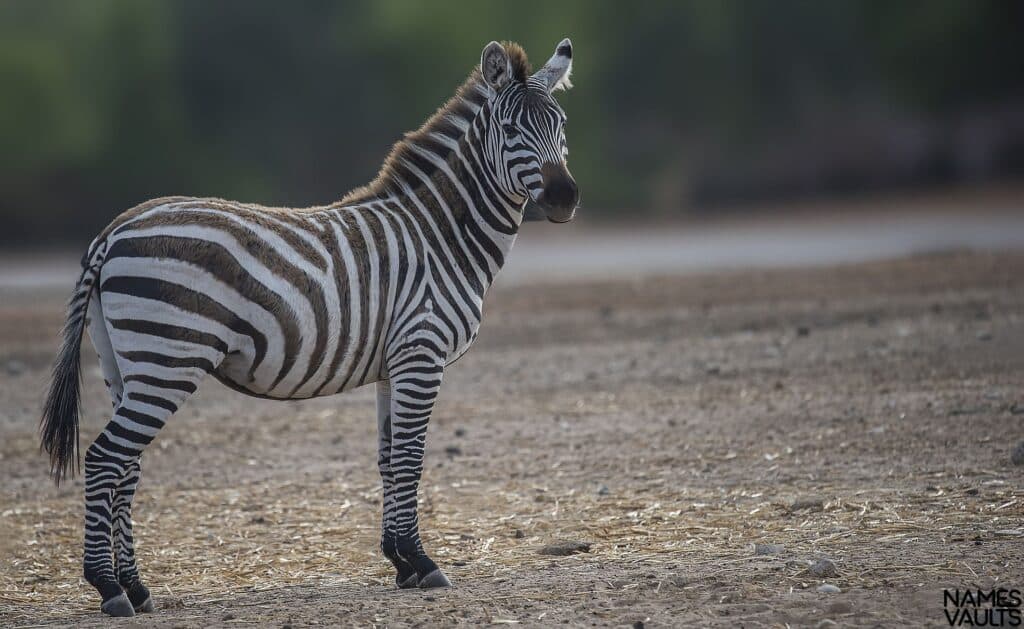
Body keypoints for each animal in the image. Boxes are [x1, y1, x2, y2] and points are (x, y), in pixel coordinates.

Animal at [39, 38, 581, 614]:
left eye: (561, 123)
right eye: (512, 129)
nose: (564, 198)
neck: (441, 236)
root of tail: (113, 231)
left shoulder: (393, 365)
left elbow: (389, 460)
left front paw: (401, 562)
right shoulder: (422, 353)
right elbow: (411, 459)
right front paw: (424, 562)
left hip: (124, 365)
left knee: (127, 468)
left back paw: (137, 588)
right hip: (169, 360)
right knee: (105, 459)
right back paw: (108, 587)